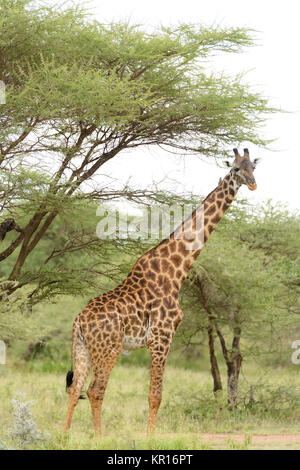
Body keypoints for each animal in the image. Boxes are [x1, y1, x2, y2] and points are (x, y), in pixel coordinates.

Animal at [64, 147, 258, 434]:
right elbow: (155, 395)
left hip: (82, 348)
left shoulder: (158, 340)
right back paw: (98, 438)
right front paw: (149, 437)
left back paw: (64, 437)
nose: (253, 184)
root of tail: (79, 320)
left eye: (253, 167)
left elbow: (153, 394)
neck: (176, 269)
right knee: (95, 391)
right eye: (235, 168)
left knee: (75, 388)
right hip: (108, 349)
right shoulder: (162, 337)